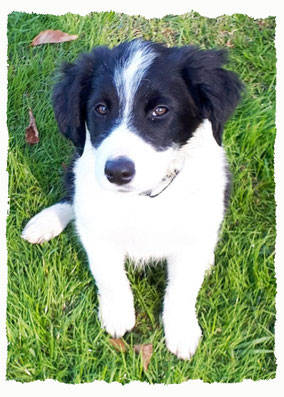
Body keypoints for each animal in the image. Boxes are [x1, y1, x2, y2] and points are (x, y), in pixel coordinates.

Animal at [22, 40, 244, 358]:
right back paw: (46, 221)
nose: (117, 172)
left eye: (160, 110)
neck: (143, 199)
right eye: (101, 109)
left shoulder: (191, 236)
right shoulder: (98, 232)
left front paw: (181, 331)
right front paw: (117, 314)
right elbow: (109, 274)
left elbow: (182, 287)